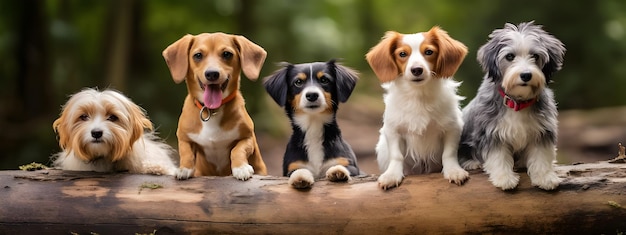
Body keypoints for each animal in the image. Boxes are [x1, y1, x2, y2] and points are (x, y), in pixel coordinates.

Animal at [161, 32, 266, 180]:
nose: (212, 73)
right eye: (198, 55)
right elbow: (186, 152)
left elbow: (237, 149)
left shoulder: (248, 138)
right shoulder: (183, 138)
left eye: (227, 54)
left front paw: (241, 167)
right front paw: (184, 168)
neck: (211, 110)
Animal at [264, 60, 358, 189]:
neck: (314, 127)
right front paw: (300, 177)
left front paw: (337, 170)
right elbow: (297, 171)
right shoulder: (291, 167)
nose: (312, 95)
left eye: (324, 80)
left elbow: (344, 166)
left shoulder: (352, 166)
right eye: (298, 82)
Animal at [366, 26, 468, 190]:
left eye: (429, 52)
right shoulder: (393, 130)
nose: (417, 70)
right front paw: (392, 175)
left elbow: (449, 153)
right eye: (402, 54)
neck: (419, 96)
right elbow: (396, 155)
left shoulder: (452, 127)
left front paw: (454, 171)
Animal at [456, 21, 564, 191]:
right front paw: (504, 178)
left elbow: (541, 156)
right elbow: (498, 157)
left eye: (535, 56)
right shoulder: (491, 133)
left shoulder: (542, 131)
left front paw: (545, 177)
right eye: (510, 56)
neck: (517, 102)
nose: (526, 75)